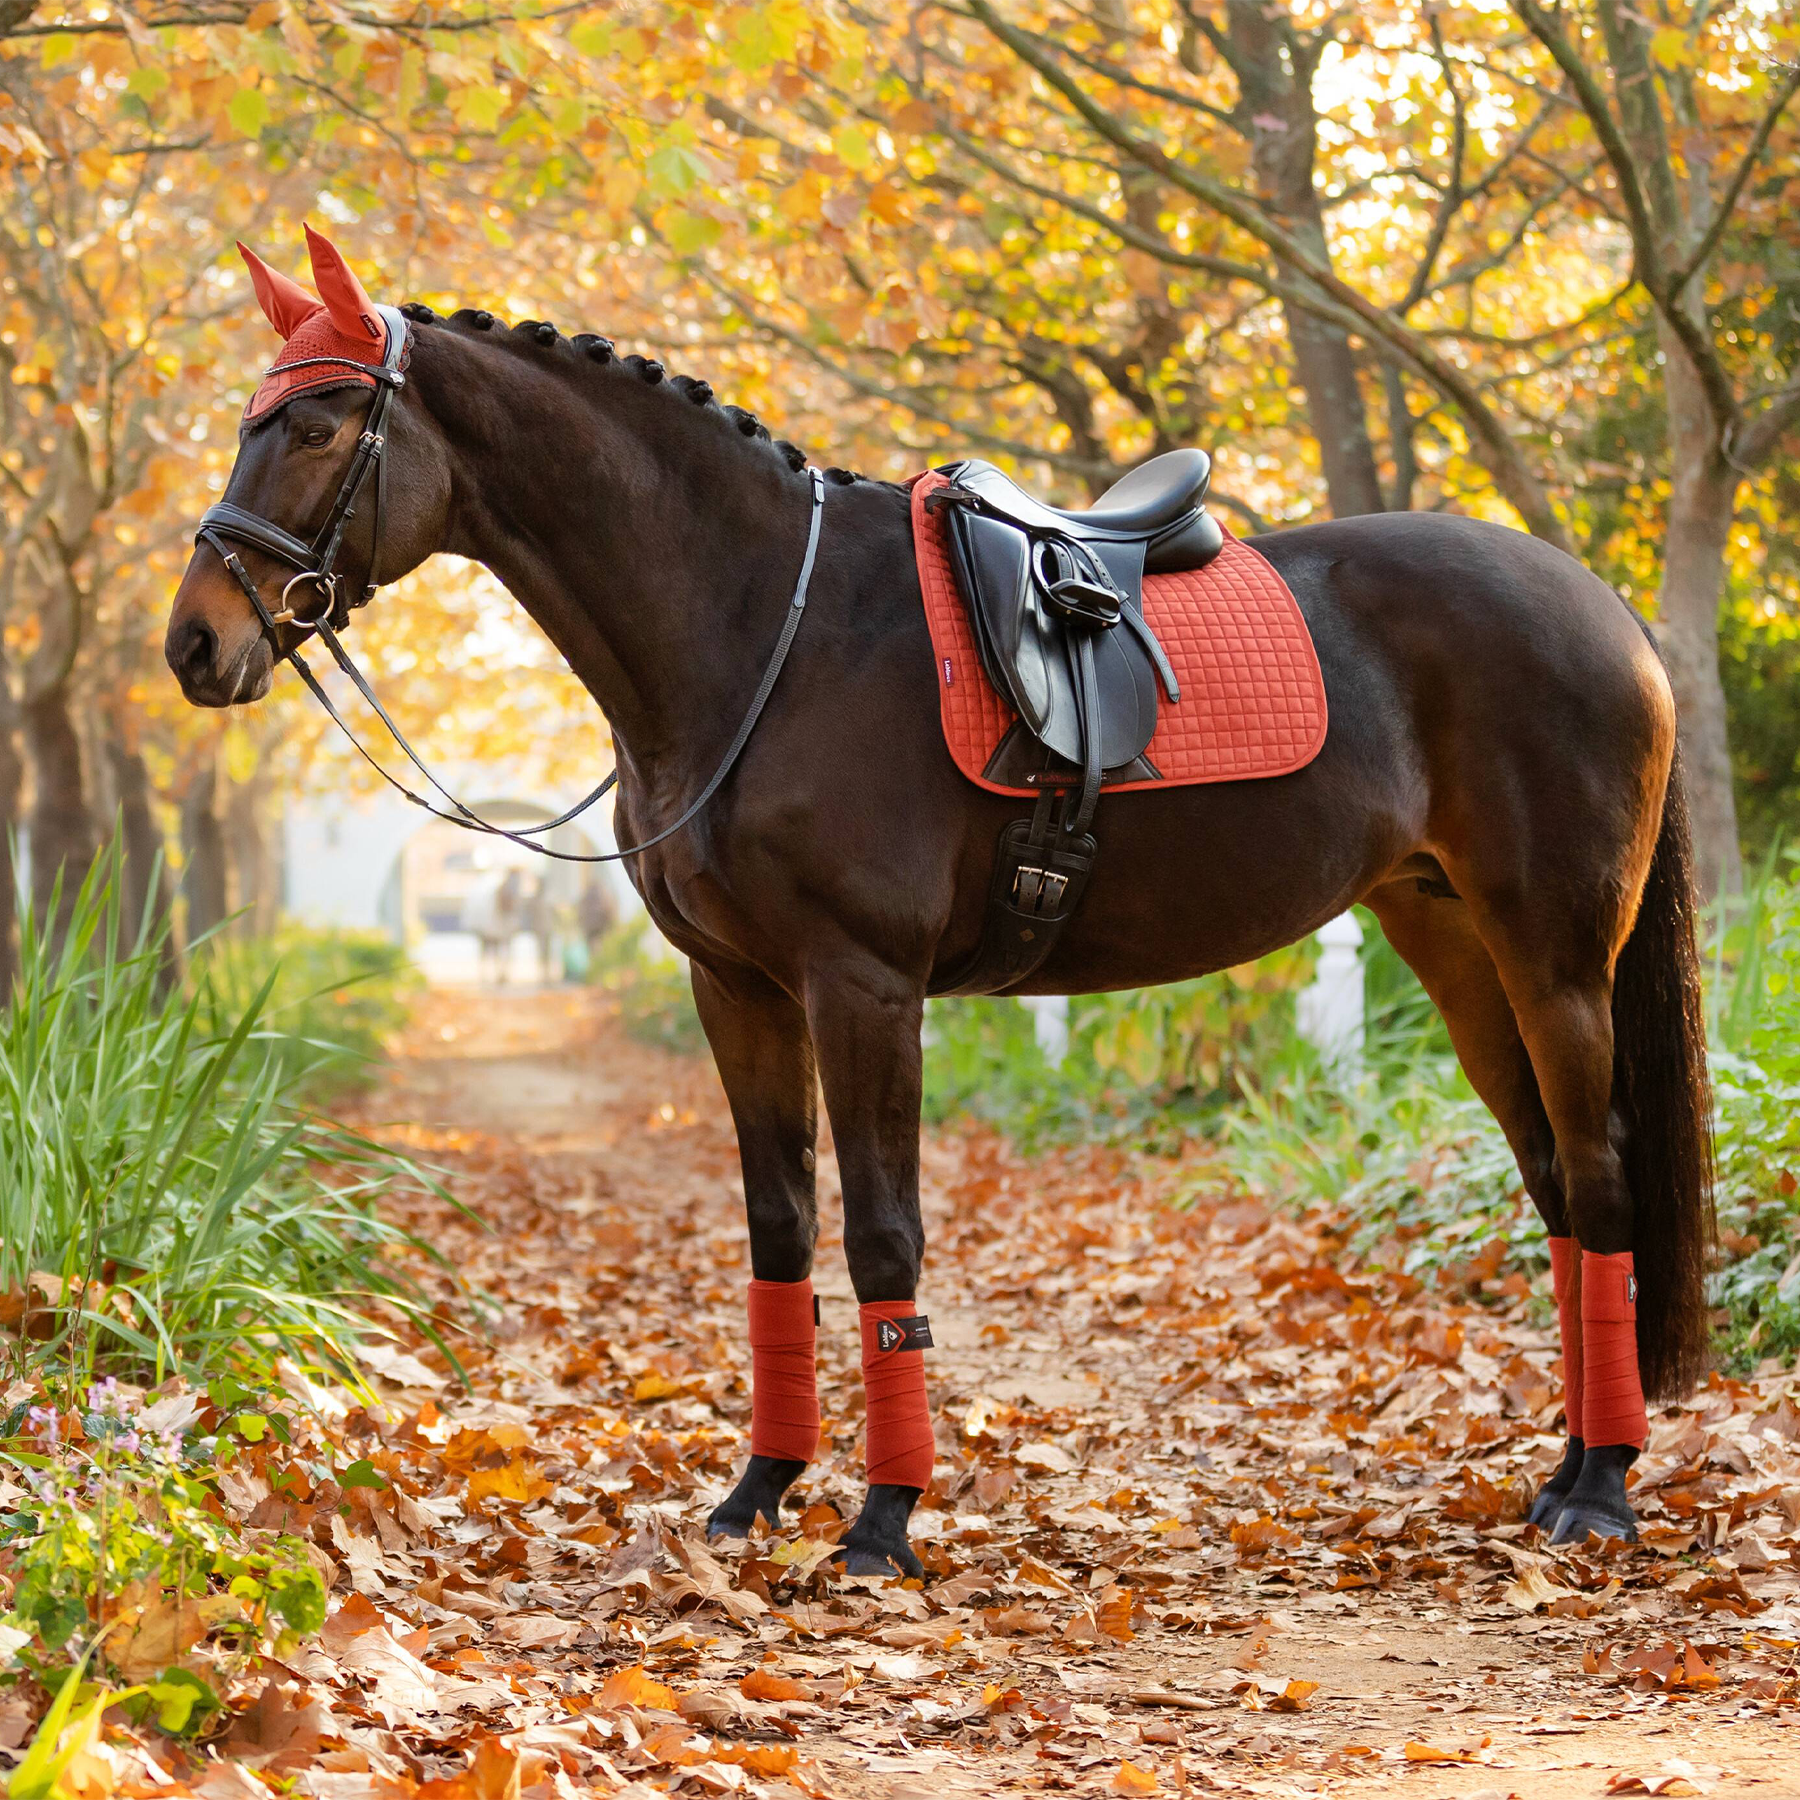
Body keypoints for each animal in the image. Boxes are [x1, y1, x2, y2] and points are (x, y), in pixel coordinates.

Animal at [169, 235, 1713, 1576]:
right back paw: (1567, 1469)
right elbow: (781, 1231)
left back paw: (1602, 1493)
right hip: (1449, 939)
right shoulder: (738, 990)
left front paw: (882, 1521)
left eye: (318, 427)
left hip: (1553, 955)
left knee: (1600, 1173)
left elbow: (881, 1239)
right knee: (1556, 1184)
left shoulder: (863, 986)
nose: (197, 642)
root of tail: (1602, 606)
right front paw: (760, 1492)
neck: (761, 629)